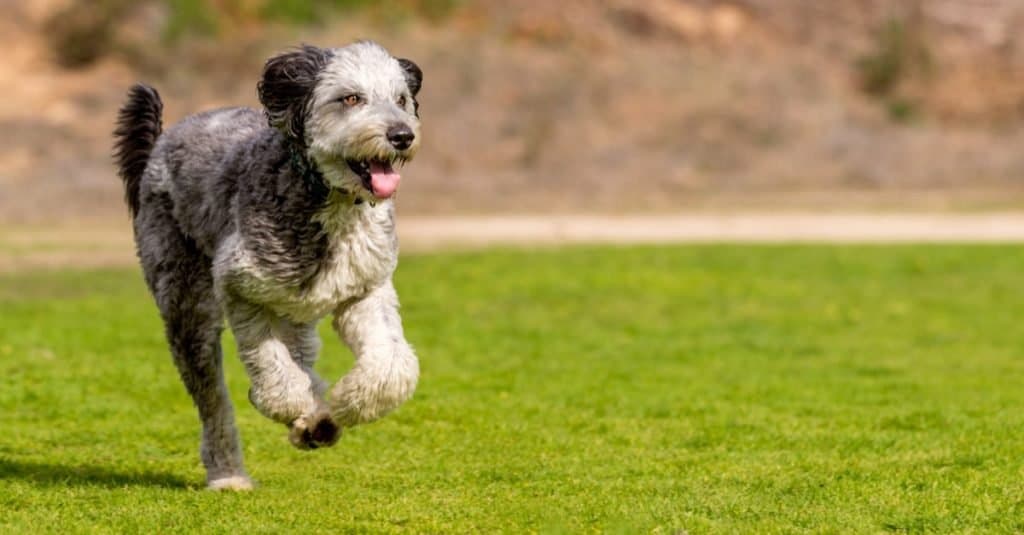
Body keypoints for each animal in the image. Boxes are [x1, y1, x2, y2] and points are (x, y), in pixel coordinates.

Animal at [116, 41, 423, 489]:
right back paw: (229, 474)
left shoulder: (365, 291)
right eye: (351, 98)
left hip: (296, 314)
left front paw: (347, 402)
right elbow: (272, 369)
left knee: (303, 359)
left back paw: (317, 420)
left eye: (401, 99)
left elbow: (391, 366)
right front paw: (292, 403)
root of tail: (161, 142)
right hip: (187, 307)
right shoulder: (242, 288)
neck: (327, 201)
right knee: (214, 404)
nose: (402, 135)